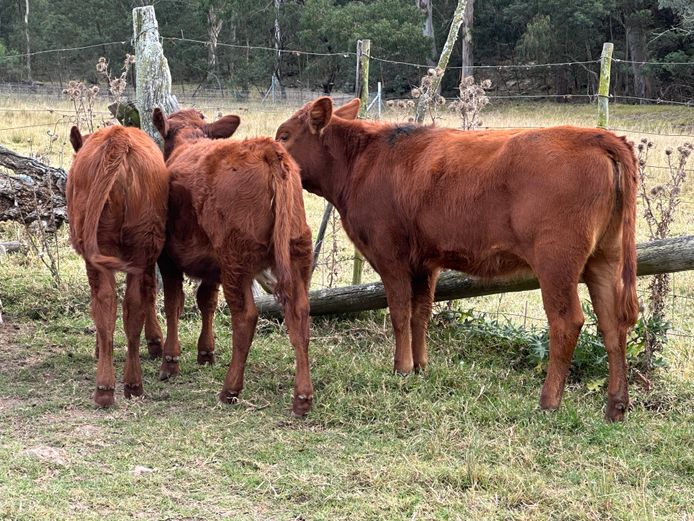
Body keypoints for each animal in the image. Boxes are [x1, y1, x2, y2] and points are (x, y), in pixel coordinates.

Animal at [67, 125, 170, 406]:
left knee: (106, 303)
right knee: (130, 304)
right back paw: (130, 384)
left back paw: (107, 387)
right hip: (141, 245)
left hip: (105, 253)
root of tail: (118, 137)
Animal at [155, 108, 316, 414]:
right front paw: (205, 352)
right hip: (297, 255)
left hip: (236, 261)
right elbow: (206, 301)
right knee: (299, 314)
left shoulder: (168, 259)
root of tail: (266, 148)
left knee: (246, 317)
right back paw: (302, 397)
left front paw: (170, 361)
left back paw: (230, 389)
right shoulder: (212, 267)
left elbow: (173, 305)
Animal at [278, 97, 640, 420]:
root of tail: (594, 135)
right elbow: (420, 314)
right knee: (612, 324)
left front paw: (401, 368)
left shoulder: (391, 257)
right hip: (604, 259)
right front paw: (420, 366)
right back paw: (616, 406)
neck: (363, 161)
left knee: (567, 322)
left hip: (556, 263)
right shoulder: (425, 263)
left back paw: (549, 401)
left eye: (284, 135)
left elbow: (399, 313)